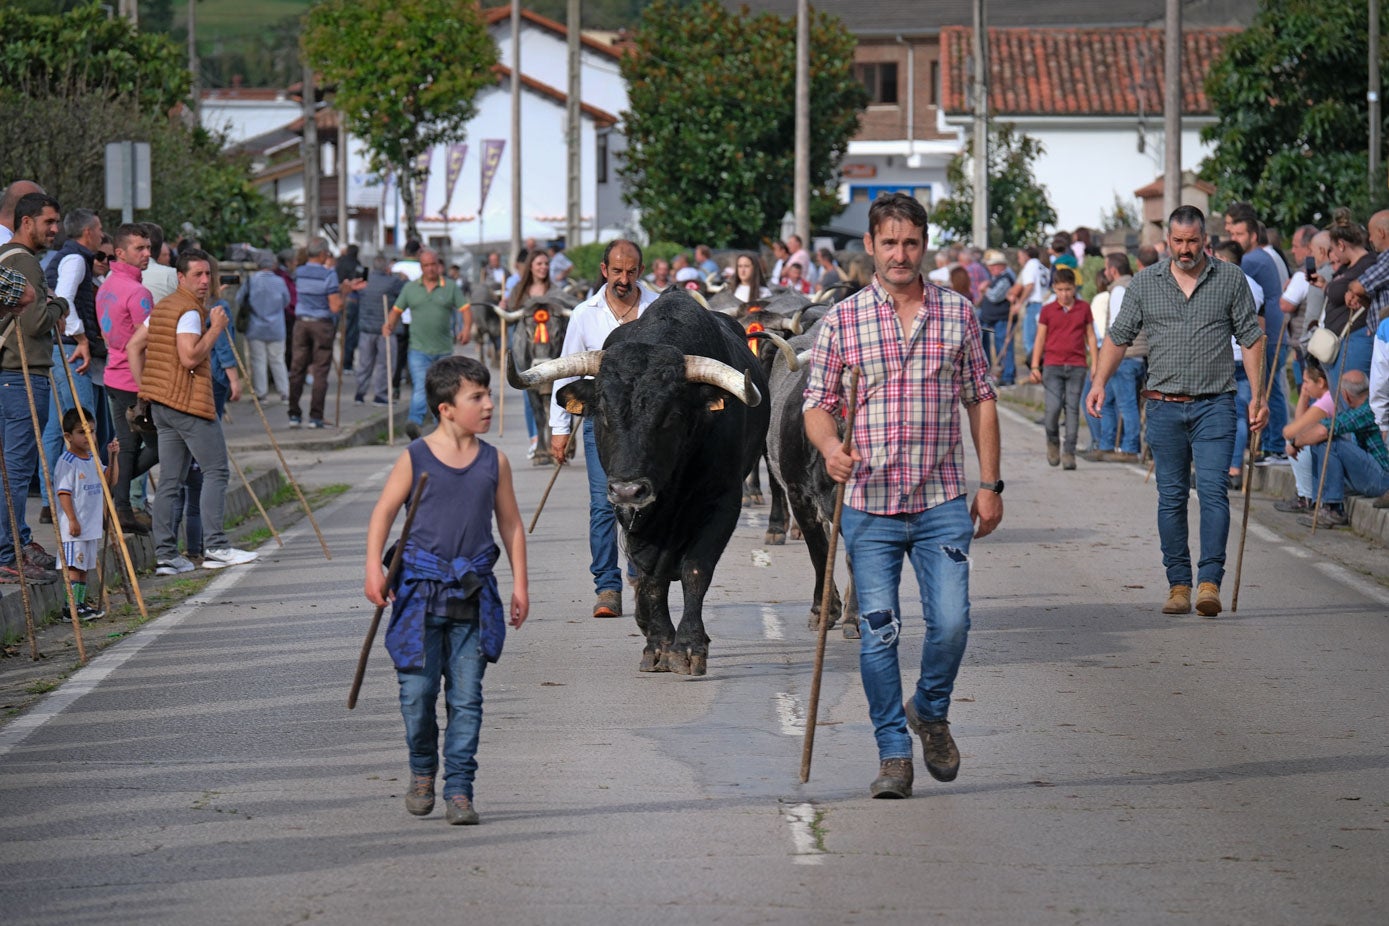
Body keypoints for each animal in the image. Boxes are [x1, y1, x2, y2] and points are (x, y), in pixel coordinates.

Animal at [511, 292, 772, 677]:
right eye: (603, 412)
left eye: (671, 415)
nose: (628, 489)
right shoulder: (634, 516)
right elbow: (650, 576)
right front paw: (658, 644)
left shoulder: (723, 502)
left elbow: (696, 568)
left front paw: (689, 647)